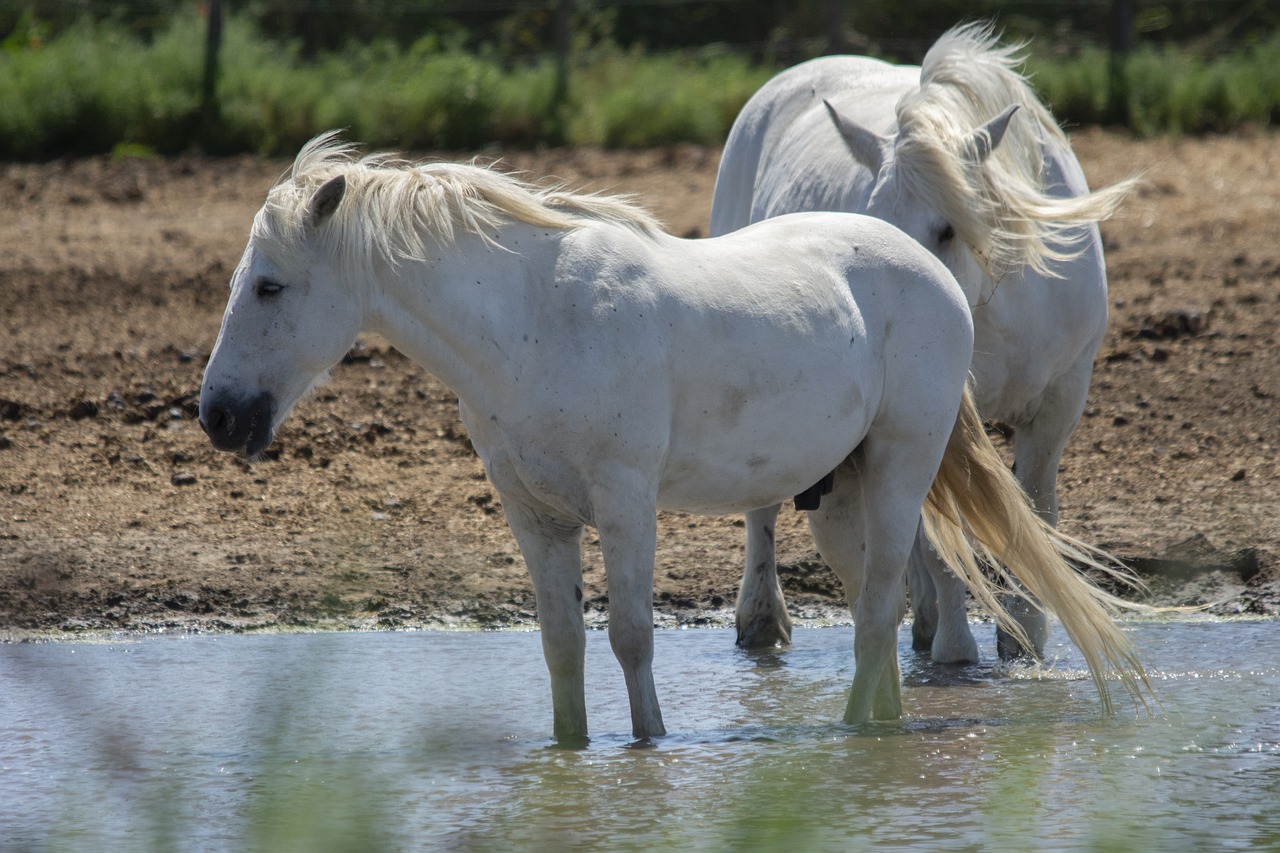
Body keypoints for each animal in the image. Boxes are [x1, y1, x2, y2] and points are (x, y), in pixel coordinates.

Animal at [202, 136, 1152, 742]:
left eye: (272, 285)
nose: (219, 415)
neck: (535, 321)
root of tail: (934, 276)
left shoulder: (626, 502)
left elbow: (630, 633)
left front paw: (648, 745)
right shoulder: (533, 514)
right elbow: (561, 642)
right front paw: (572, 750)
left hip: (898, 473)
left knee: (884, 606)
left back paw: (853, 736)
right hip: (835, 497)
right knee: (870, 619)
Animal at [711, 21, 1141, 655]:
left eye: (947, 230)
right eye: (870, 219)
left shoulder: (1059, 402)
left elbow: (1035, 515)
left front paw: (1025, 640)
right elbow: (945, 542)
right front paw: (957, 652)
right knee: (768, 510)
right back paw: (766, 619)